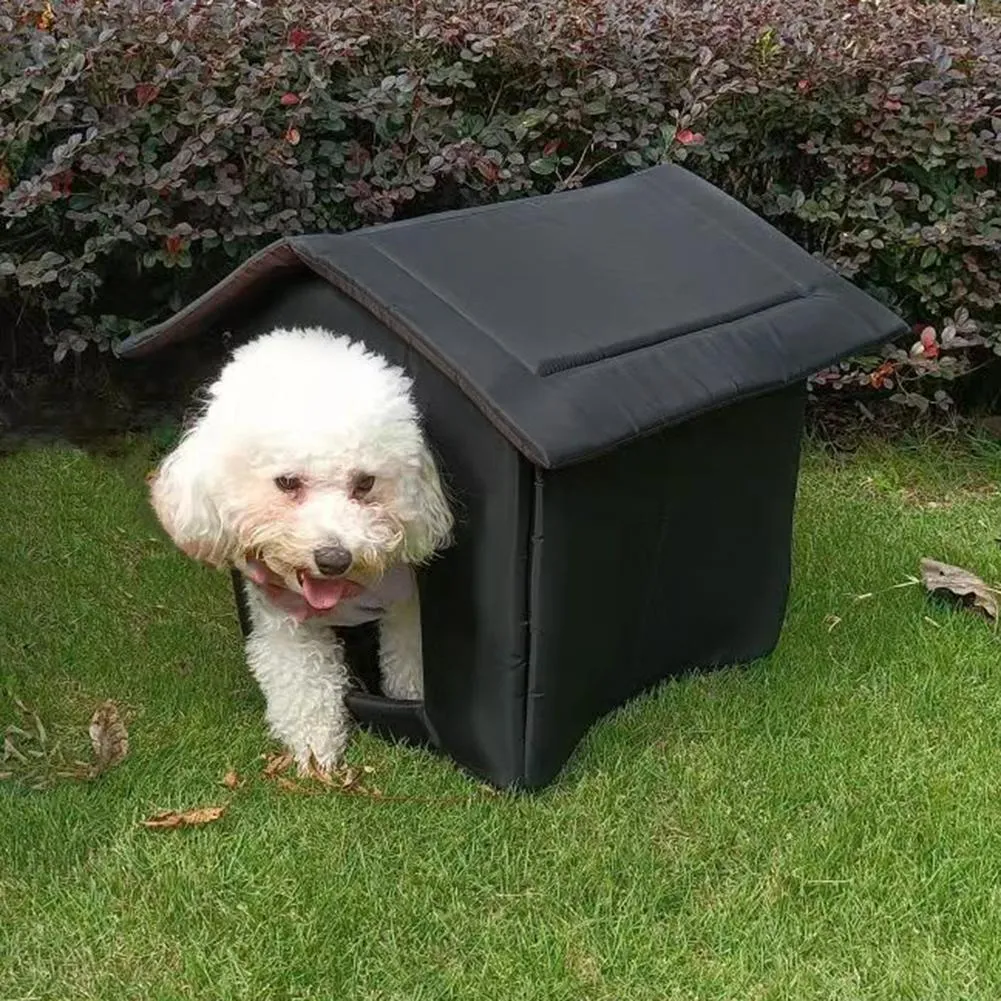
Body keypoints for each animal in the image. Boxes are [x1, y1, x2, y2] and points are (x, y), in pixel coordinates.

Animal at [148, 324, 454, 768]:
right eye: (287, 482)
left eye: (365, 483)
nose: (334, 559)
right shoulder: (283, 615)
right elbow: (301, 678)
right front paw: (314, 745)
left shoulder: (406, 601)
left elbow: (409, 657)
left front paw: (411, 702)